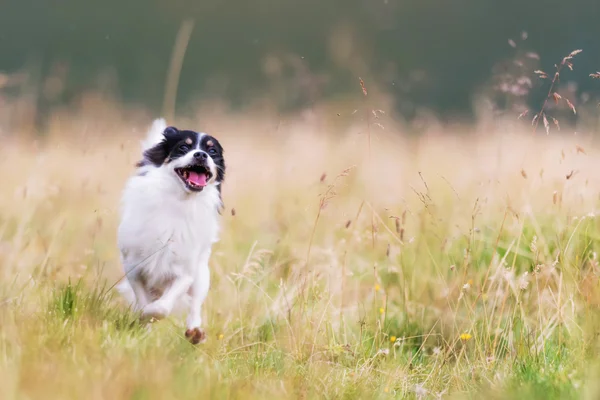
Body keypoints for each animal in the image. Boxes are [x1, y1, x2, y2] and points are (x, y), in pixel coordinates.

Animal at [115, 119, 225, 344]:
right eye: (183, 147)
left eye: (213, 151)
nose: (201, 155)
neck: (179, 199)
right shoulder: (134, 267)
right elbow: (143, 302)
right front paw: (143, 320)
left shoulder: (185, 273)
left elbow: (162, 308)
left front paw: (150, 314)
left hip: (202, 276)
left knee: (194, 305)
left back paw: (195, 333)